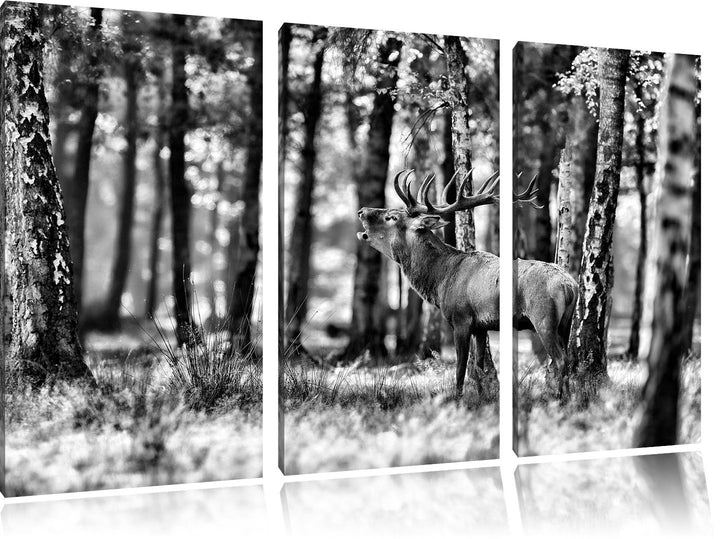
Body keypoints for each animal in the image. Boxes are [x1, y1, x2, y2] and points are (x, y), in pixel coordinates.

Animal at [357, 169, 578, 399]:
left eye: (391, 217)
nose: (362, 211)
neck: (440, 280)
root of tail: (570, 286)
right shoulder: (481, 326)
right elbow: (479, 367)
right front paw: (482, 398)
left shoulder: (460, 318)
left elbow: (461, 368)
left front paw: (458, 398)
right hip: (567, 322)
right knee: (569, 356)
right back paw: (570, 397)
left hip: (543, 318)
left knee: (560, 358)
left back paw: (558, 397)